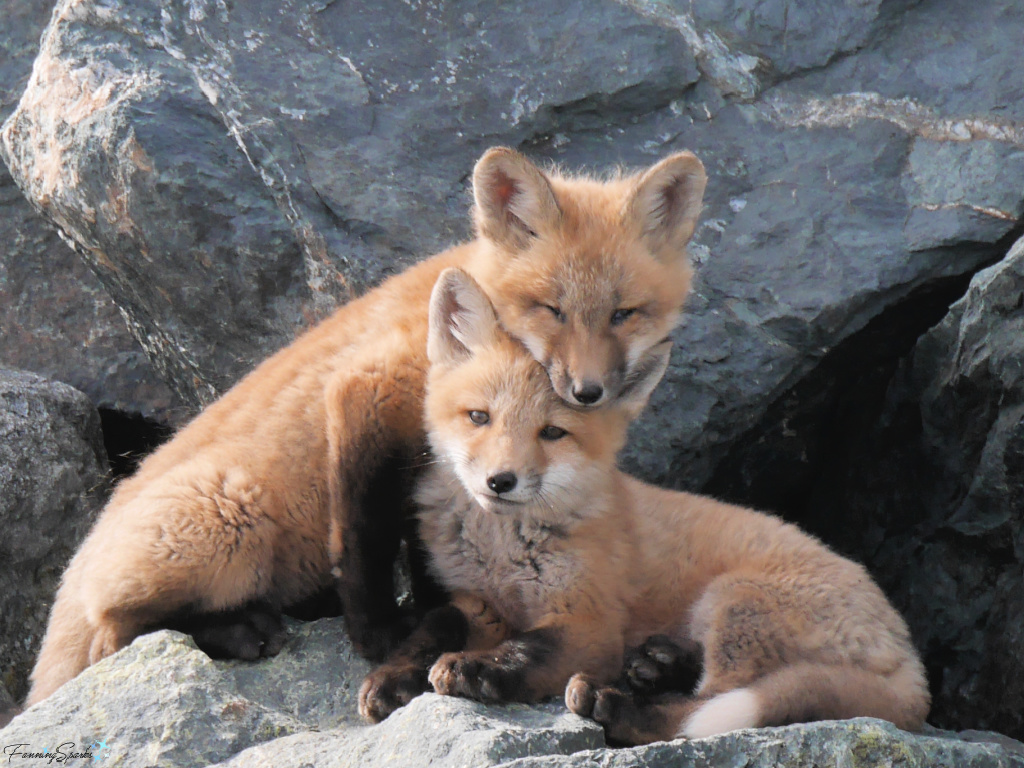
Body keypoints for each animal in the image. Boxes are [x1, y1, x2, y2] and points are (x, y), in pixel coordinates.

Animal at [25, 146, 708, 706]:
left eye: (625, 314)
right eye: (552, 310)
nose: (588, 392)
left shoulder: (435, 466)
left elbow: (427, 550)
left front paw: (433, 622)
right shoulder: (370, 397)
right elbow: (367, 537)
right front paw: (380, 633)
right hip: (229, 515)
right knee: (112, 633)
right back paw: (240, 630)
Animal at [358, 268, 930, 744]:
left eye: (552, 433)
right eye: (479, 417)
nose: (500, 481)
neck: (503, 554)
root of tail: (914, 666)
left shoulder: (589, 623)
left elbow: (527, 651)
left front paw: (474, 670)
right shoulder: (475, 600)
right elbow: (434, 627)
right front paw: (392, 677)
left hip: (734, 602)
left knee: (703, 708)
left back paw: (615, 704)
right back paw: (658, 664)